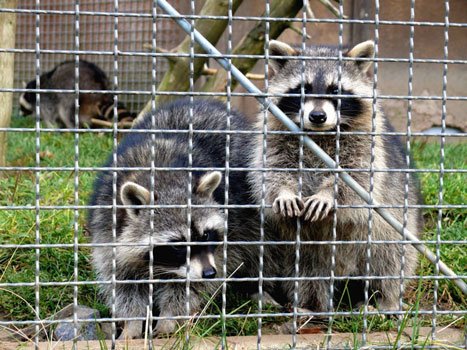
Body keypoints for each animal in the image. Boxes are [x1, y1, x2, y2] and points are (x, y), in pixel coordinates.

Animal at [88, 98, 278, 340]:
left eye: (206, 235)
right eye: (178, 245)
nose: (209, 273)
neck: (162, 176)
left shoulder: (225, 236)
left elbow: (189, 287)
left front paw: (169, 320)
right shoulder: (107, 222)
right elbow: (123, 282)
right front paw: (132, 324)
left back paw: (258, 288)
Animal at [250, 40, 426, 312]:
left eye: (336, 90)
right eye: (303, 89)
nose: (317, 116)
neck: (320, 134)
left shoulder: (365, 143)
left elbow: (357, 178)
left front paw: (328, 194)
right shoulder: (274, 135)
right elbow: (273, 169)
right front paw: (284, 191)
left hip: (390, 228)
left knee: (391, 259)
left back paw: (385, 300)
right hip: (307, 251)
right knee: (308, 272)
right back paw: (311, 306)